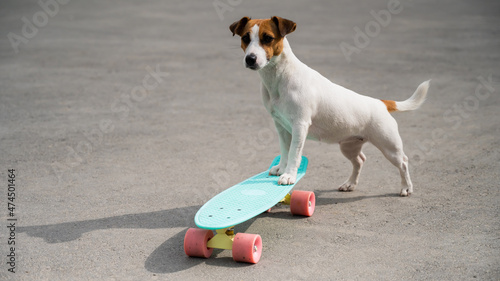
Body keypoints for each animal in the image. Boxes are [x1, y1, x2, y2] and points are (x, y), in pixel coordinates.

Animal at [230, 16, 430, 196]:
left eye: (268, 38)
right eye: (245, 38)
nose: (250, 59)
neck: (280, 77)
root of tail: (381, 103)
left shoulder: (300, 126)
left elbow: (294, 153)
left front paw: (289, 176)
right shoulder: (281, 126)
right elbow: (285, 150)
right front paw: (281, 168)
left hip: (389, 146)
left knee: (403, 162)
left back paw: (406, 188)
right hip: (349, 146)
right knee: (359, 161)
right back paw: (350, 184)